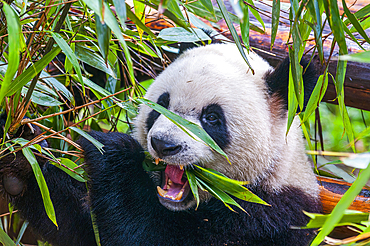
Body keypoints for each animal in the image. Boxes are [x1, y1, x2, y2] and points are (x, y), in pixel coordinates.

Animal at [0, 43, 320, 245]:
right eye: (161, 105)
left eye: (212, 118)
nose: (163, 144)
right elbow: (77, 226)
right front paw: (20, 156)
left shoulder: (268, 218)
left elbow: (145, 236)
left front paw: (112, 150)